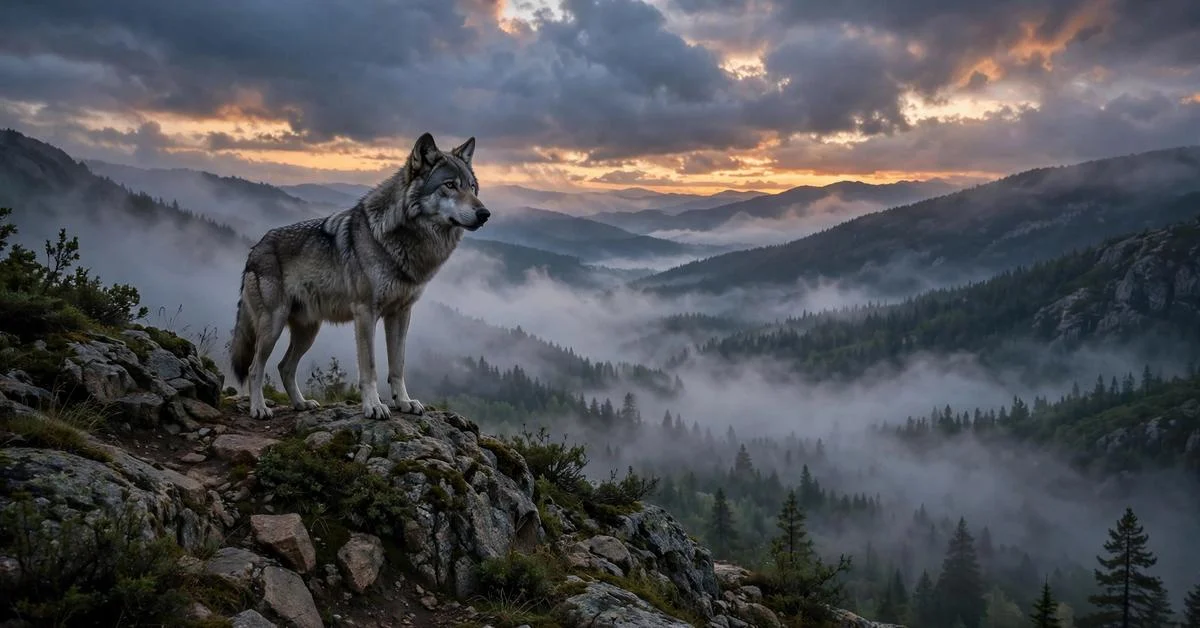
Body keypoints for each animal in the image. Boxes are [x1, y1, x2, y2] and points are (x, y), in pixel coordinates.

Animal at [228, 132, 489, 420]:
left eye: (473, 188)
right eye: (450, 185)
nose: (485, 214)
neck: (400, 239)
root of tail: (255, 248)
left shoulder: (401, 314)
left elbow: (398, 365)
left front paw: (404, 402)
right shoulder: (365, 313)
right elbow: (370, 367)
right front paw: (373, 406)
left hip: (308, 331)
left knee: (284, 367)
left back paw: (301, 404)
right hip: (272, 327)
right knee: (255, 368)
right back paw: (259, 408)